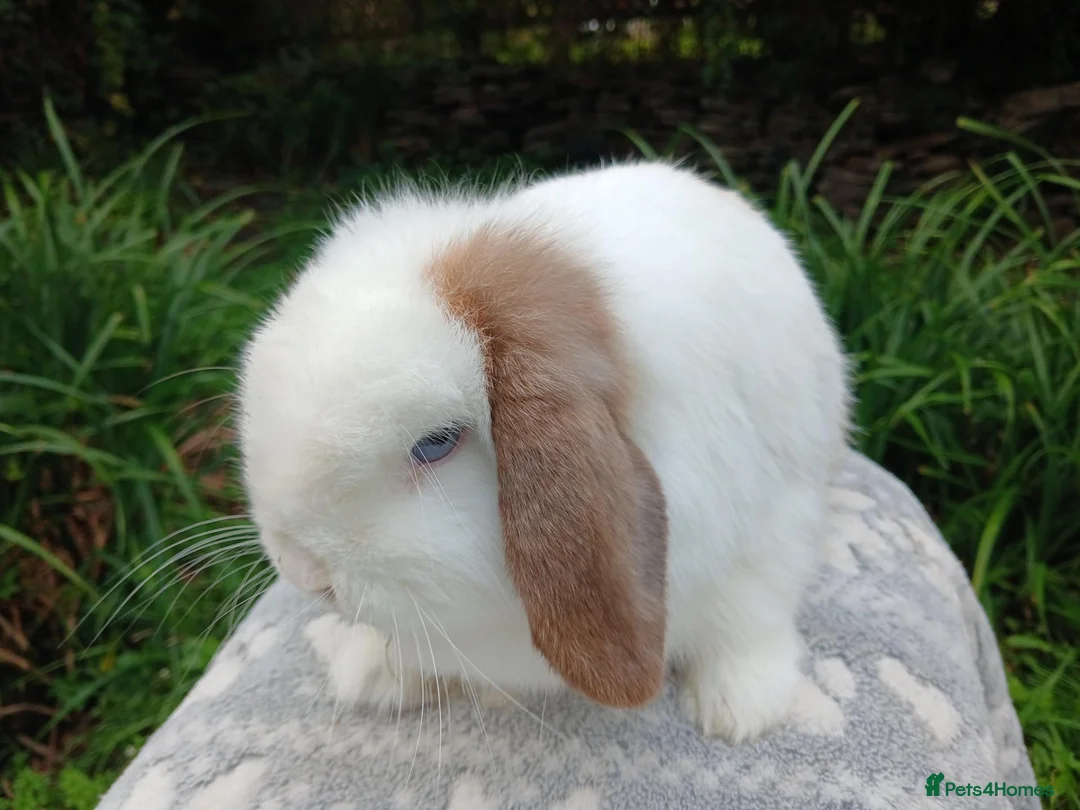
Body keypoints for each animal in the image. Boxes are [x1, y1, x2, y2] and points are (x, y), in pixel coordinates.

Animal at [236, 160, 852, 743]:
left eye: (436, 444)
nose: (304, 572)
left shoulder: (772, 532)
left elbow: (750, 623)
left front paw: (740, 709)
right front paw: (368, 671)